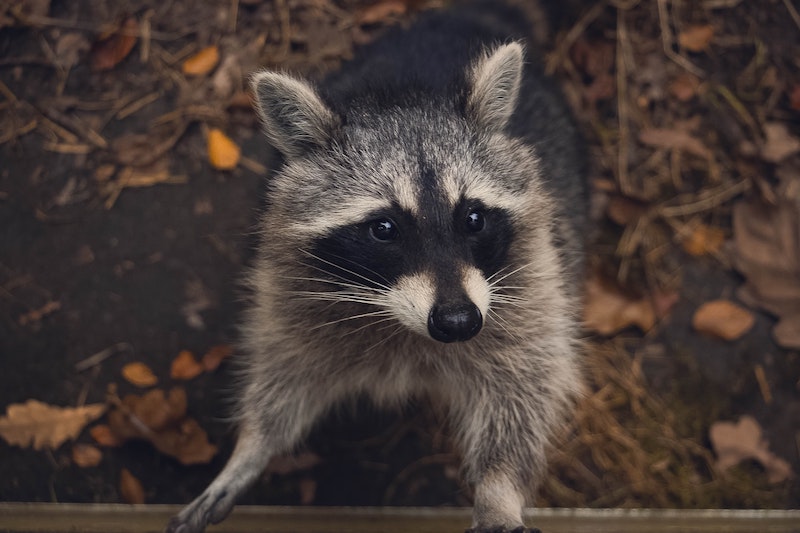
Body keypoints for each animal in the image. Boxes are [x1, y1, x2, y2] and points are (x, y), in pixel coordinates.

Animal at [167, 2, 588, 528]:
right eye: (384, 228)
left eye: (473, 218)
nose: (458, 321)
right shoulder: (292, 286)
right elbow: (284, 367)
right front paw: (252, 446)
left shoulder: (531, 281)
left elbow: (525, 386)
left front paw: (499, 489)